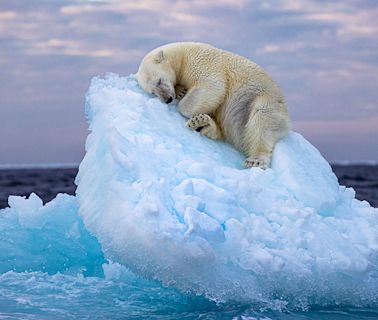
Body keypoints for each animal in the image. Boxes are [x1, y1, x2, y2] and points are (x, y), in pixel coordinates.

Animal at [136, 42, 290, 170]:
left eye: (159, 81)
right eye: (152, 92)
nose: (167, 99)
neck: (181, 55)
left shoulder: (201, 62)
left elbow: (212, 86)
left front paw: (183, 101)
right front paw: (180, 91)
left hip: (265, 100)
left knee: (262, 120)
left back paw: (256, 160)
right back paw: (202, 123)